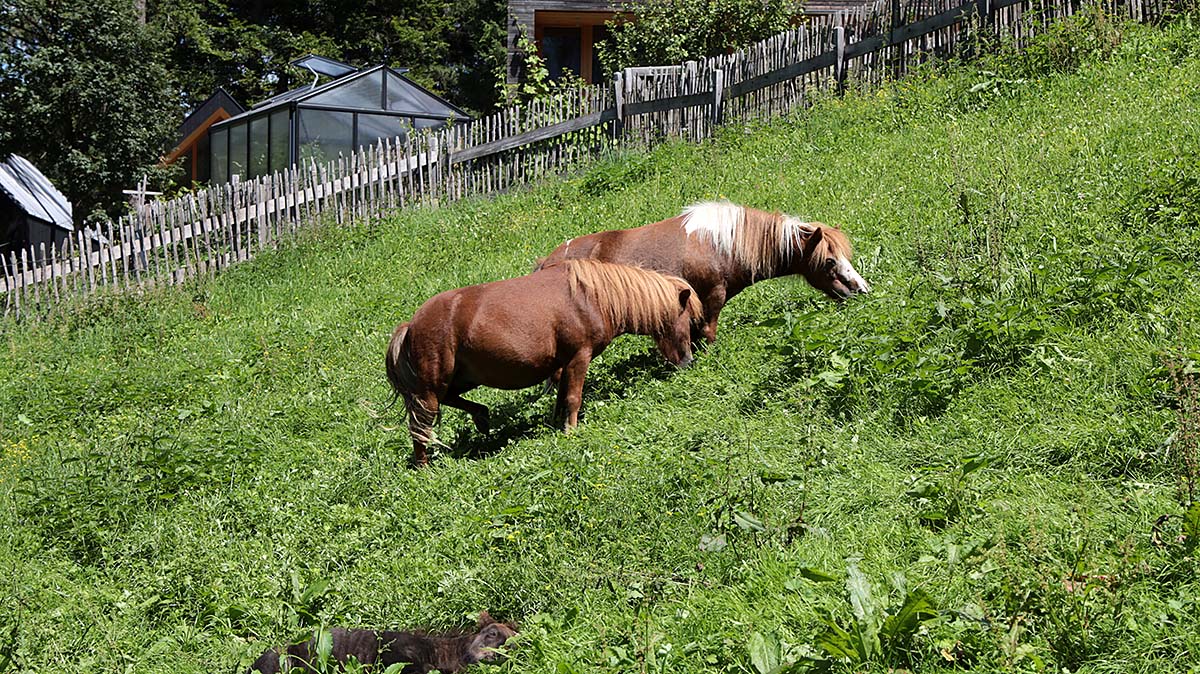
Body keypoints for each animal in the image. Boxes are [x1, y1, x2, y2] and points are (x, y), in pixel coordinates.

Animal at [384, 256, 700, 460]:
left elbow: (561, 395)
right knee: (420, 425)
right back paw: (424, 466)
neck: (591, 297)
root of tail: (411, 325)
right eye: (687, 318)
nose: (688, 362)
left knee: (450, 401)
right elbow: (573, 397)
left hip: (462, 379)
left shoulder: (562, 364)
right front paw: (571, 431)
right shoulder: (579, 356)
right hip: (431, 387)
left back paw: (482, 418)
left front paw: (556, 423)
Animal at [540, 197, 868, 345]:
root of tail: (547, 262)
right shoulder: (712, 295)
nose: (860, 289)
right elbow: (709, 333)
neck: (720, 244)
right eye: (830, 261)